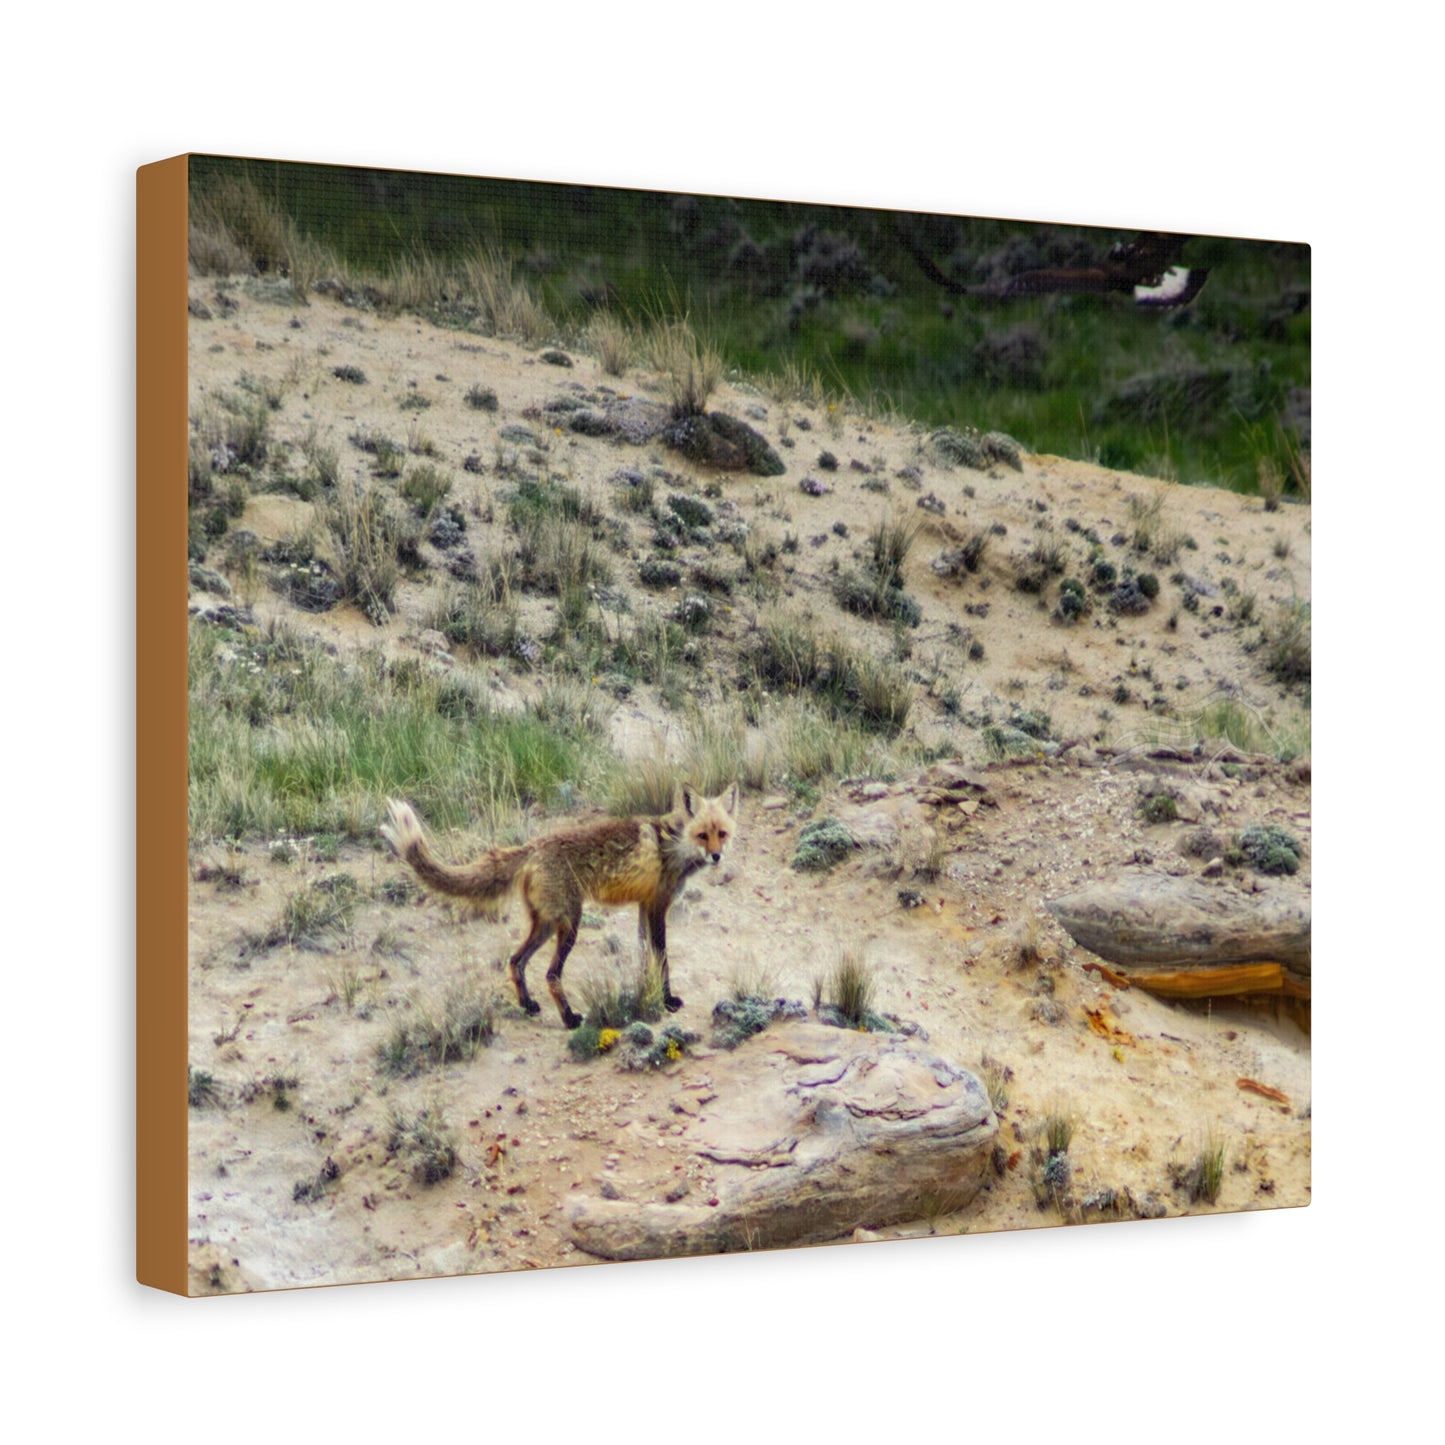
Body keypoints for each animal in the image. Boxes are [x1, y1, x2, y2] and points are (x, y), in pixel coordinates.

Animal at [380, 785, 738, 1029]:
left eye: (722, 833)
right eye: (703, 835)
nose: (717, 856)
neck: (673, 844)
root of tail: (533, 846)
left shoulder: (643, 905)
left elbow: (644, 957)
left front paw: (644, 994)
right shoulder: (657, 906)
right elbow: (661, 958)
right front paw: (667, 1000)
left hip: (547, 924)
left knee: (516, 961)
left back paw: (528, 1006)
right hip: (570, 924)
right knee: (551, 974)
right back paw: (569, 1019)